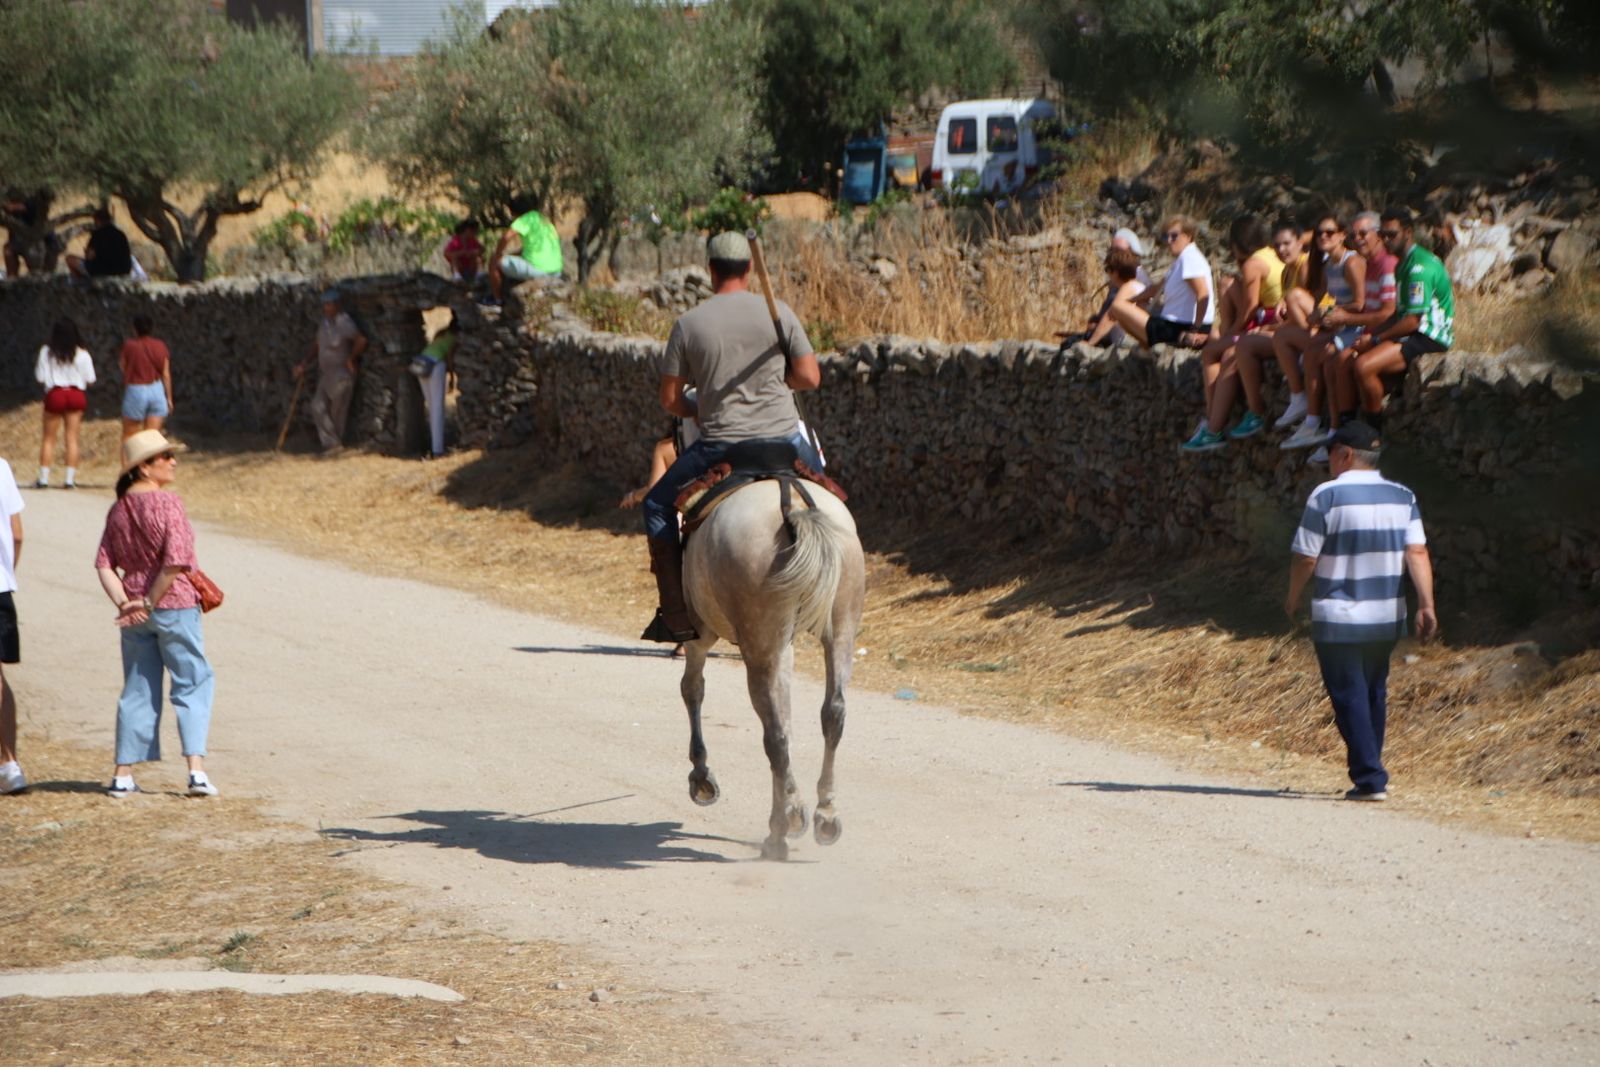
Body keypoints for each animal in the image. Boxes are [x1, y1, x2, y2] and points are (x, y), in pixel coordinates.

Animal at [677, 477, 865, 861]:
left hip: (758, 641)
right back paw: (825, 814)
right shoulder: (786, 648)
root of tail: (792, 502)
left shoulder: (699, 635)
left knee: (774, 736)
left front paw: (702, 776)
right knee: (832, 713)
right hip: (840, 627)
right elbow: (789, 716)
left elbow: (693, 688)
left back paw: (780, 832)